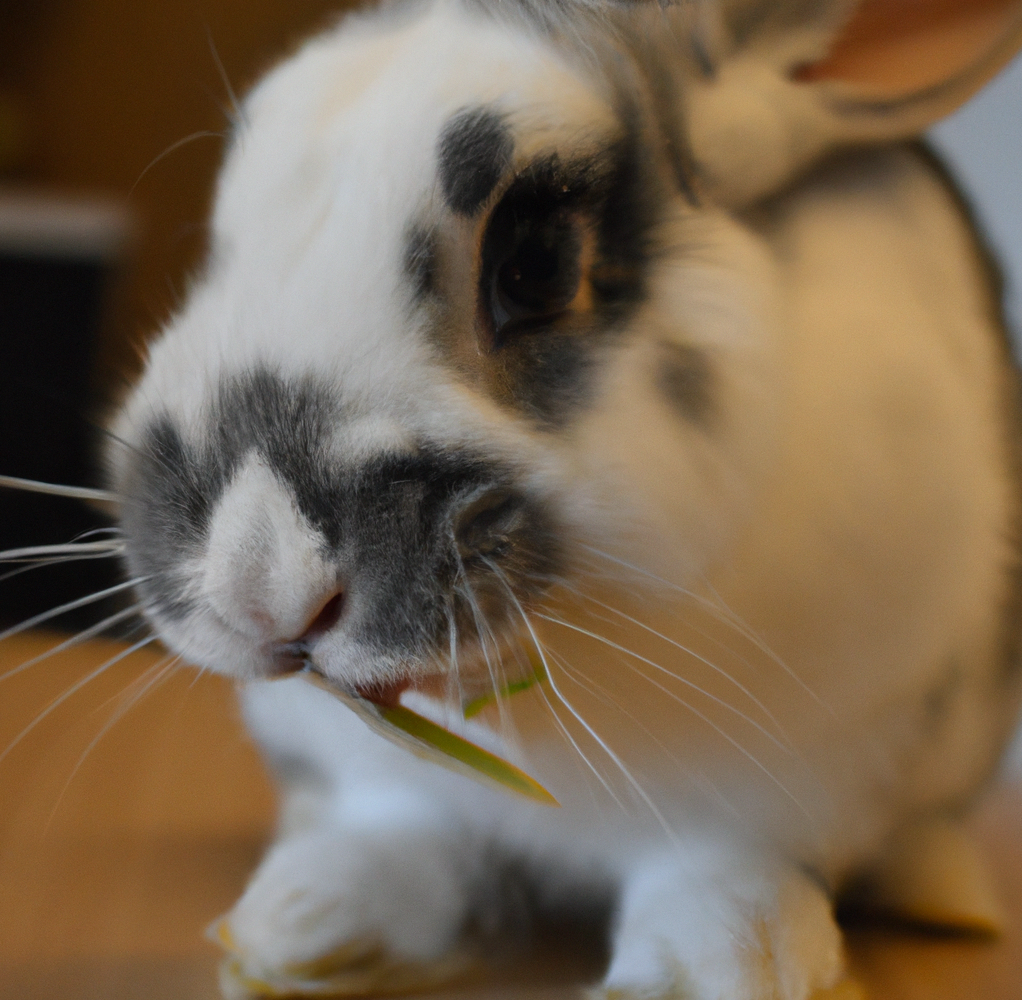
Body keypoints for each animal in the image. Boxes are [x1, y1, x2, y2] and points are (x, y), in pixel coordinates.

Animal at [105, 1, 1022, 997]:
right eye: (224, 244)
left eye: (538, 263)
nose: (261, 588)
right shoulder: (378, 779)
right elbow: (402, 827)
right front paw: (304, 929)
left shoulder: (797, 778)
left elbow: (720, 867)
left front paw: (719, 969)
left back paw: (951, 898)